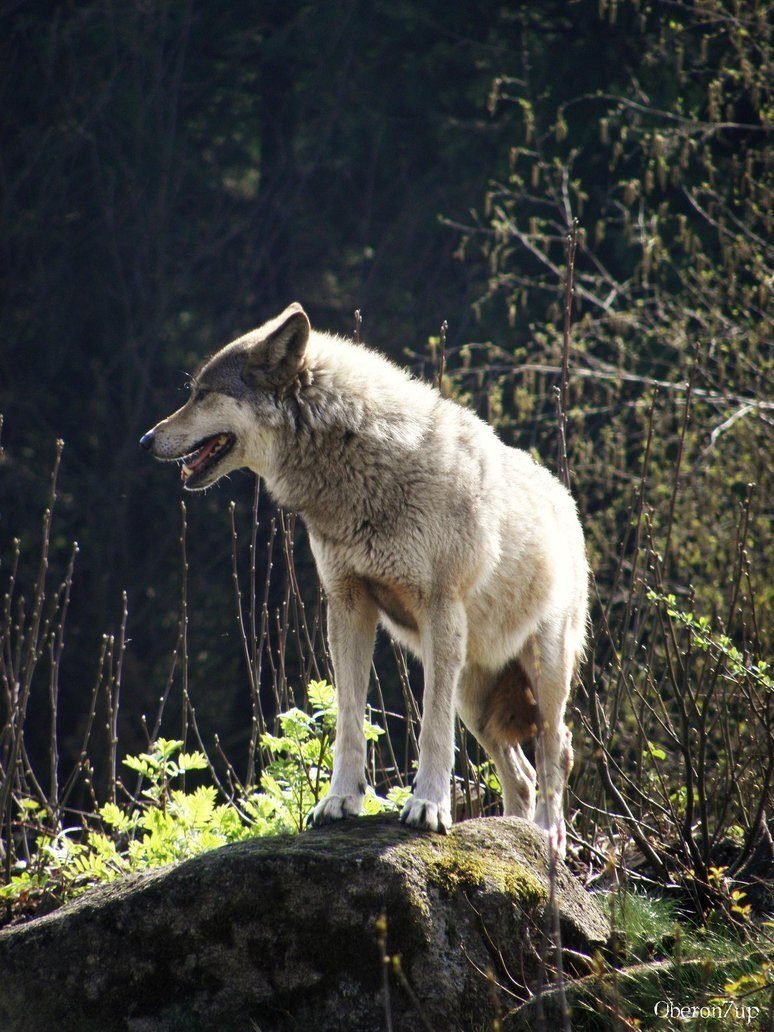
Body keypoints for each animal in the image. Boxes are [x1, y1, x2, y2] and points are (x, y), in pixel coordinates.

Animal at [141, 301, 586, 854]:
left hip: (537, 674)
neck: (363, 465)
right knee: (522, 776)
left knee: (556, 751)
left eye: (202, 394)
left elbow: (431, 730)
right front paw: (341, 801)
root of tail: (566, 500)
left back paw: (547, 840)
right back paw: (511, 835)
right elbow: (349, 717)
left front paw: (429, 807)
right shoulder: (347, 604)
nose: (145, 440)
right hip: (474, 696)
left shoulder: (440, 612)